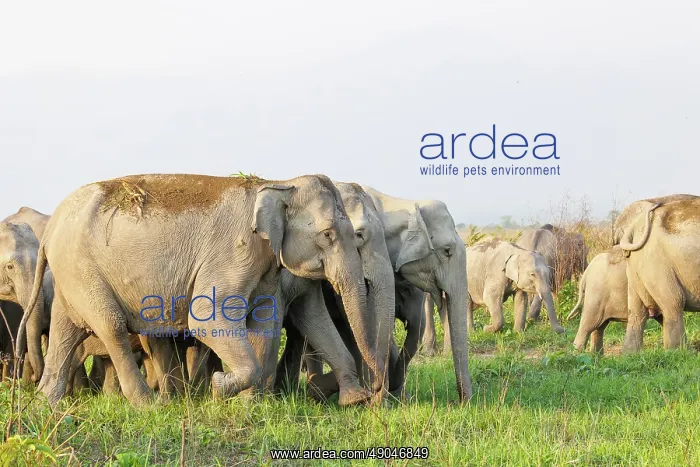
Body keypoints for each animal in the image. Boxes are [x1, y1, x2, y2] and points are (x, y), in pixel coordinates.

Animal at [18, 173, 377, 407]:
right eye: (328, 234)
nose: (373, 394)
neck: (278, 181)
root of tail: (50, 227)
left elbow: (278, 321)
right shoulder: (235, 252)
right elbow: (205, 319)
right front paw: (219, 389)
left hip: (71, 274)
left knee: (65, 329)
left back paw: (48, 404)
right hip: (82, 269)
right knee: (111, 325)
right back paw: (151, 405)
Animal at [612, 194, 700, 352]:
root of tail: (636, 226)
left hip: (641, 264)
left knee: (636, 309)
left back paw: (630, 353)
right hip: (657, 261)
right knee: (674, 301)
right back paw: (681, 352)